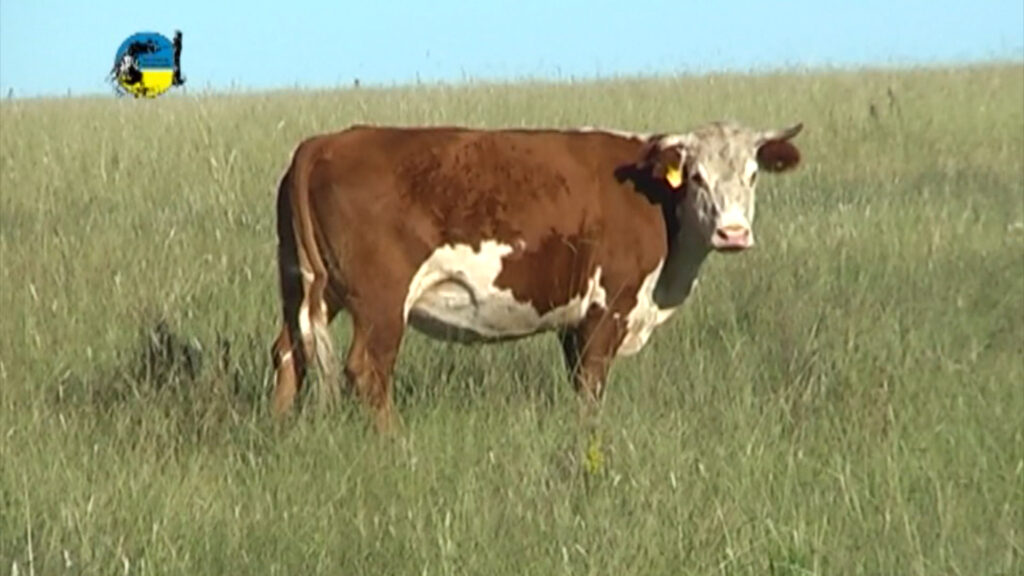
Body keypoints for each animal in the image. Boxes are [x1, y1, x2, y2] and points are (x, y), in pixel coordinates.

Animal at [268, 120, 804, 431]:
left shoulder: (573, 318)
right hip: (381, 299)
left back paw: (279, 430)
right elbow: (590, 386)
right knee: (368, 369)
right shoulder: (608, 306)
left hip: (307, 285)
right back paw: (396, 445)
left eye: (753, 175)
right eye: (696, 177)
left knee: (289, 352)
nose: (733, 233)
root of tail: (325, 142)